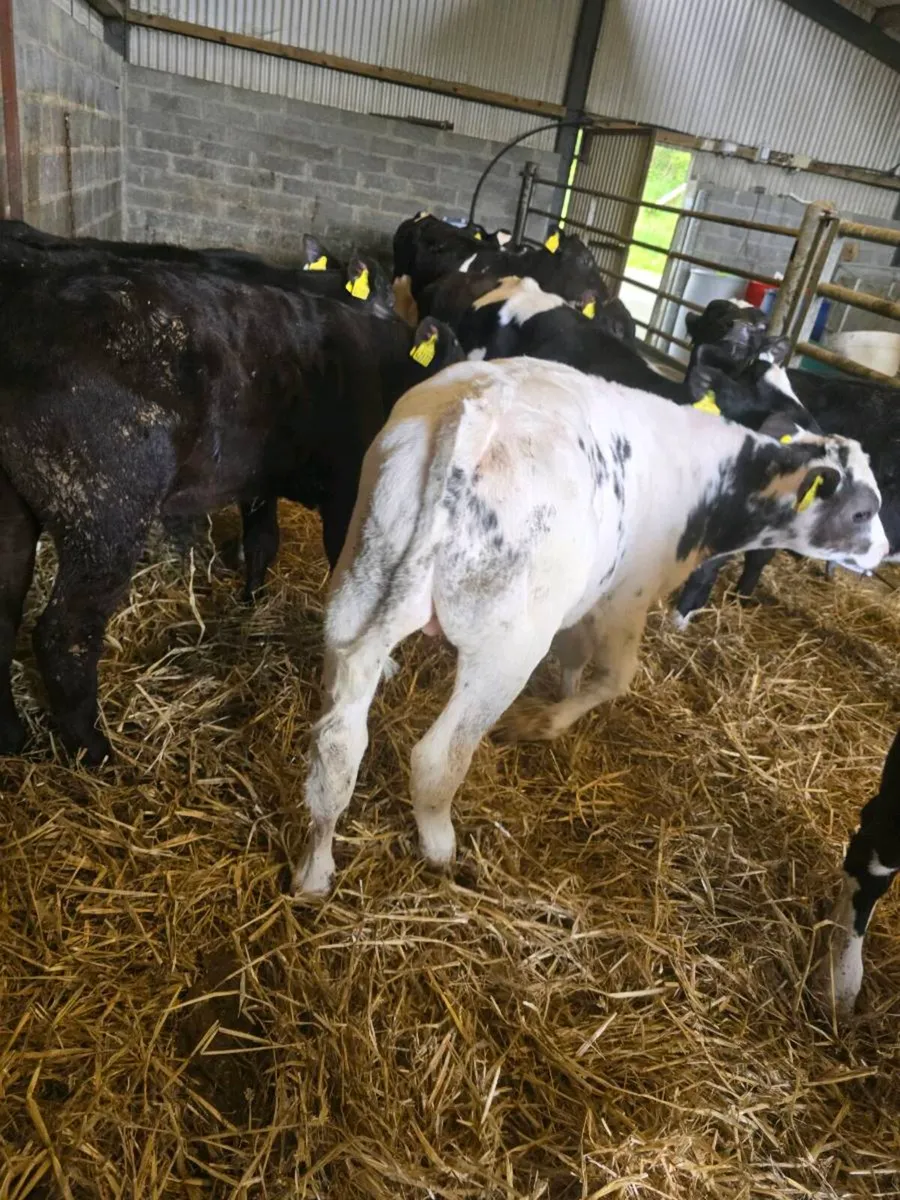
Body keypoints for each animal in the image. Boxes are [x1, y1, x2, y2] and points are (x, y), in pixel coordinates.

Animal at [0, 257, 462, 764]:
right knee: (64, 634)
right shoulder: (348, 495)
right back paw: (99, 752)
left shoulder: (258, 479)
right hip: (104, 510)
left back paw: (13, 738)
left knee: (4, 611)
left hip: (14, 511)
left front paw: (251, 600)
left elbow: (262, 540)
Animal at [292, 356, 888, 895]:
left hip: (357, 590)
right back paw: (439, 846)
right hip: (504, 650)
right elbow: (612, 678)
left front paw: (560, 693)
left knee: (338, 747)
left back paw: (315, 870)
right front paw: (542, 722)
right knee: (437, 758)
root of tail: (480, 411)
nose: (884, 550)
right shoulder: (624, 599)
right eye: (863, 511)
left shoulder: (583, 602)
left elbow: (574, 657)